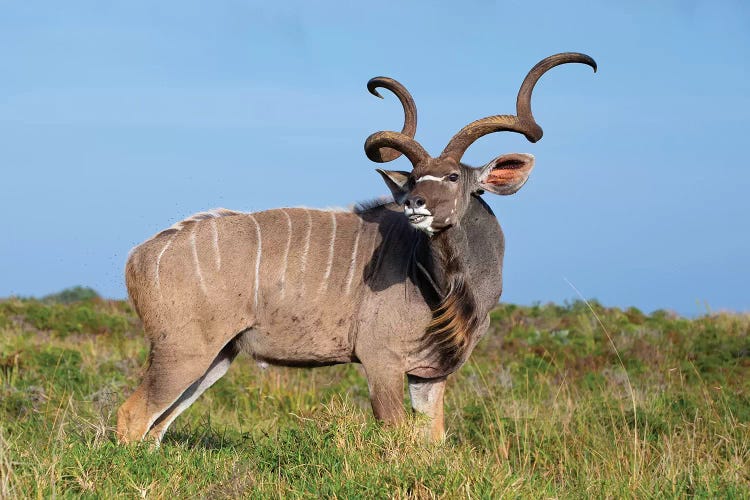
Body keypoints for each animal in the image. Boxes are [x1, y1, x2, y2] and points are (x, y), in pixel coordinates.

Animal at [117, 51, 600, 442]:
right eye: (414, 176)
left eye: (451, 176)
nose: (414, 203)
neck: (445, 288)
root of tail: (140, 256)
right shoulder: (381, 362)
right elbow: (398, 440)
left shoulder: (428, 376)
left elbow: (433, 442)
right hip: (183, 351)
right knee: (132, 415)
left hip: (218, 356)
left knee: (158, 426)